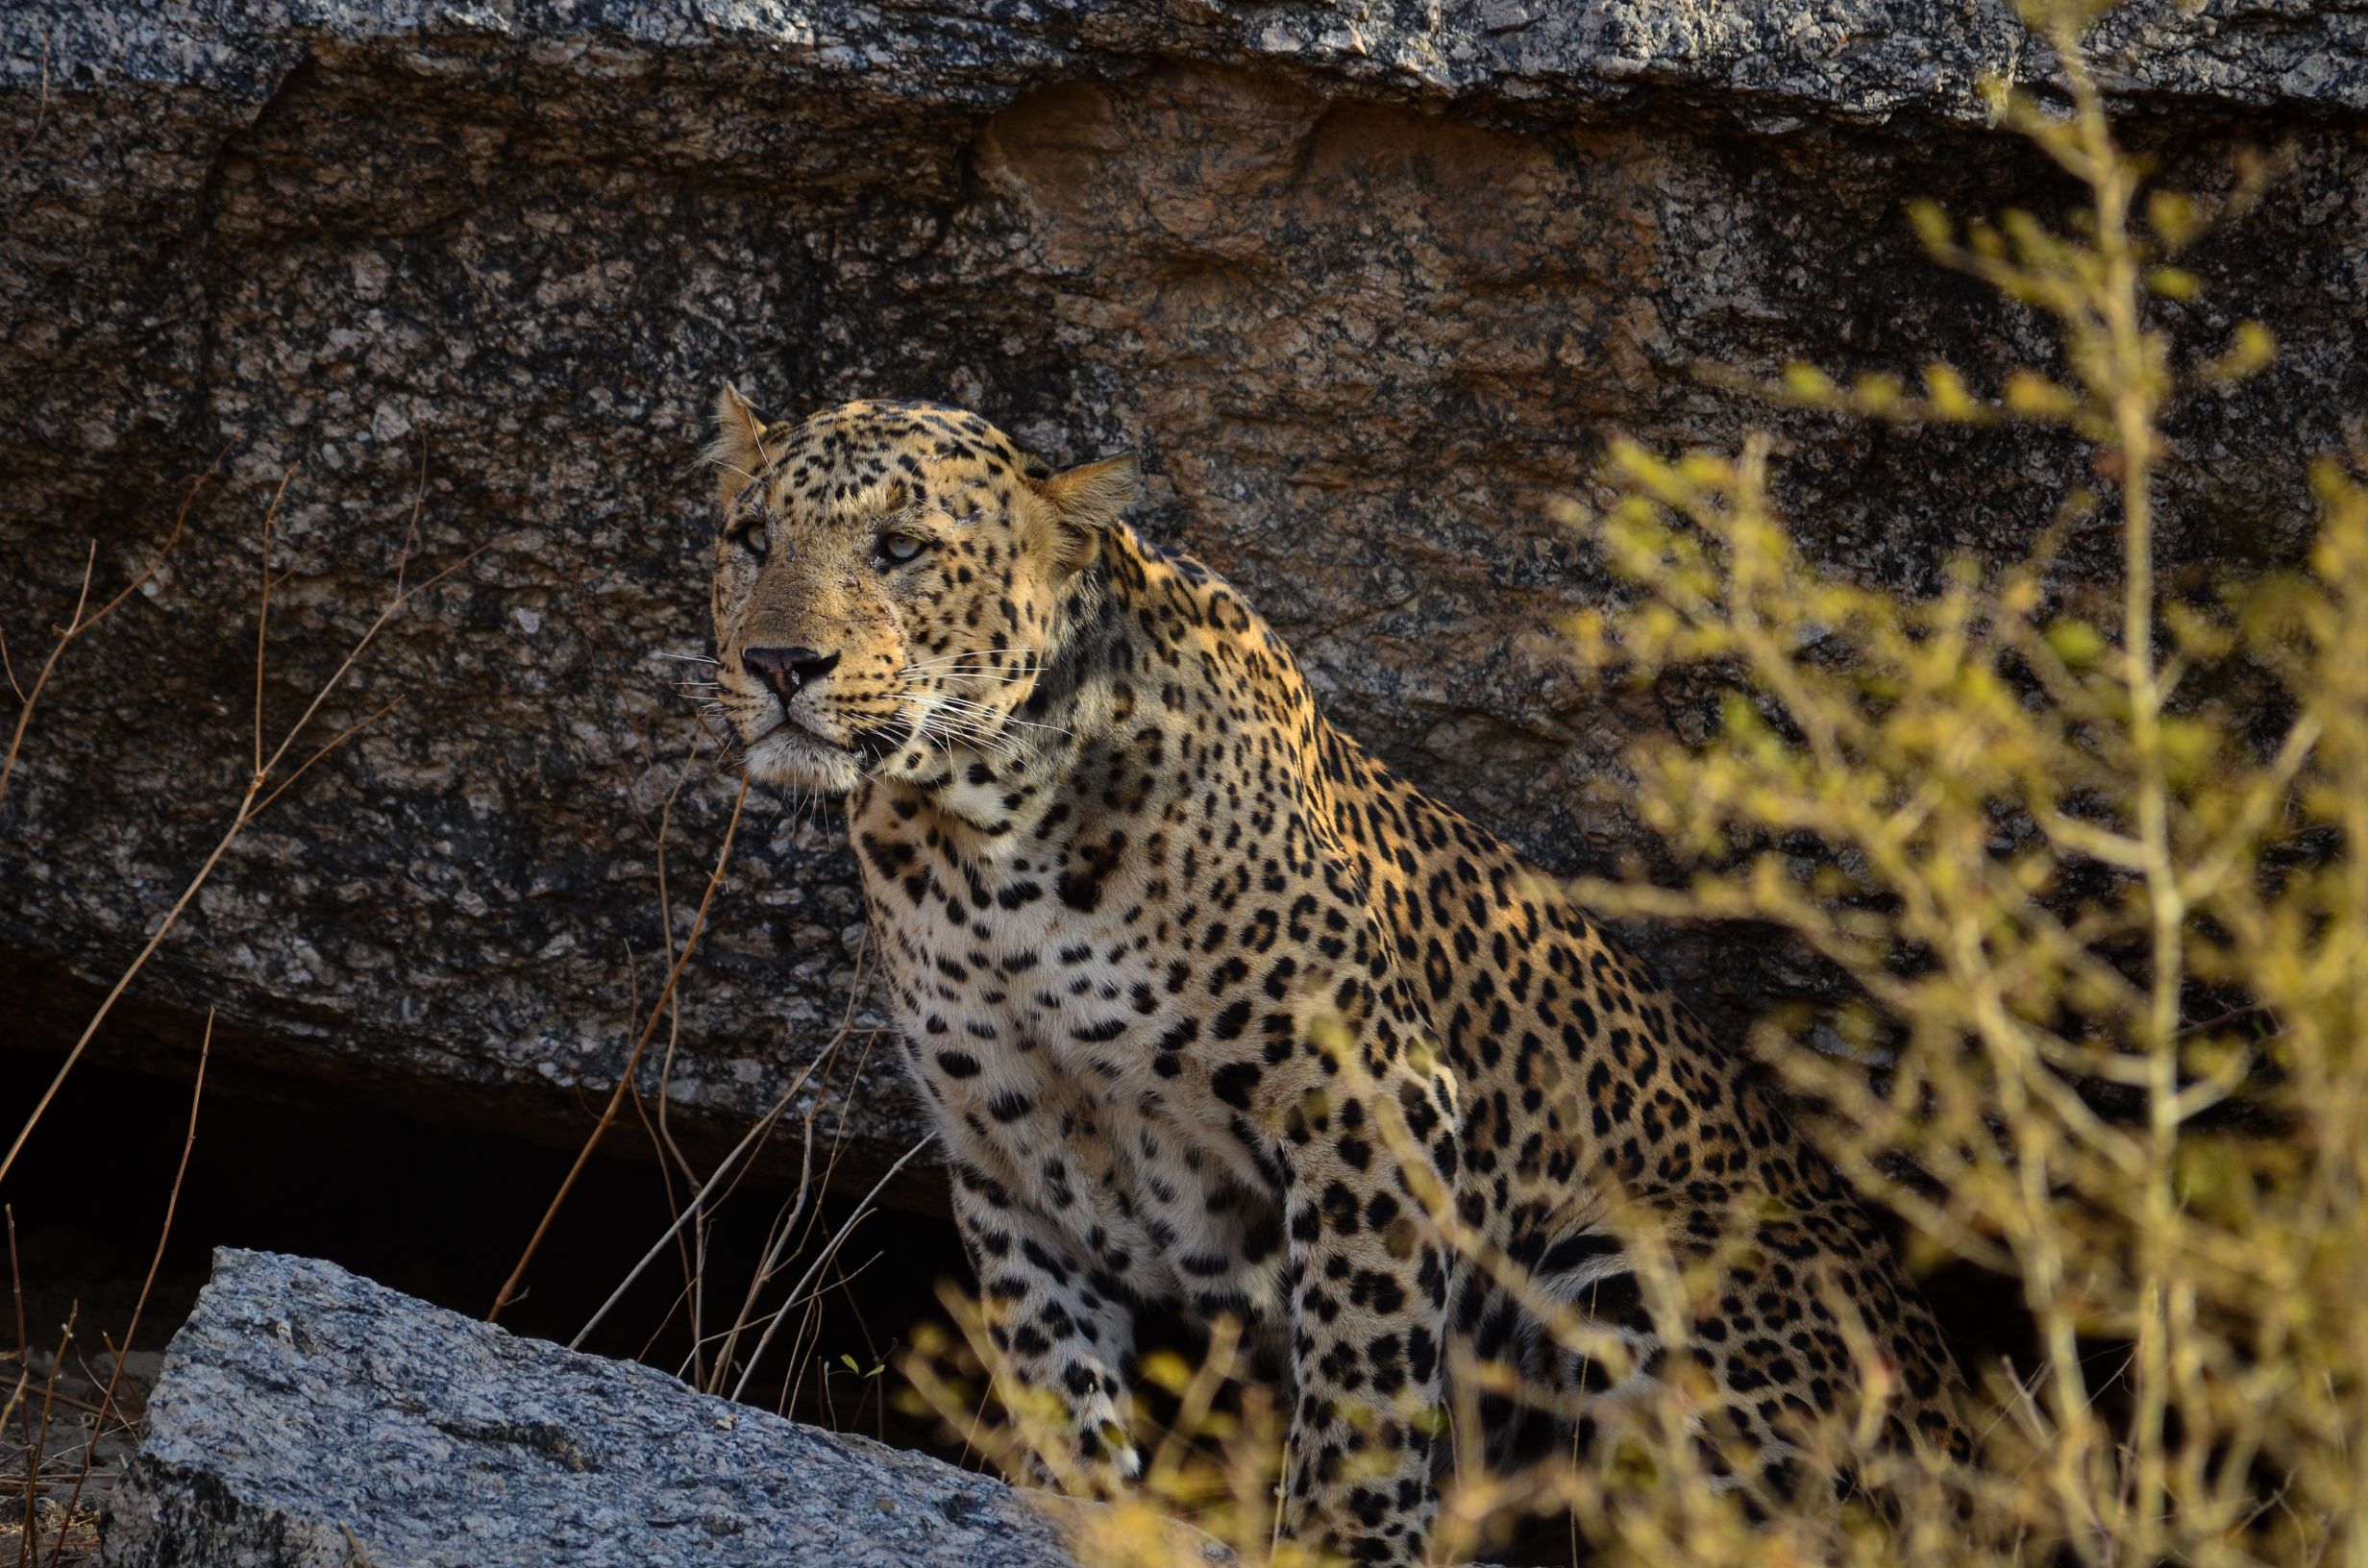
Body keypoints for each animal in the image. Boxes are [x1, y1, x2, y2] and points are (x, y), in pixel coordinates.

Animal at [702, 389, 1967, 1564]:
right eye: (751, 537)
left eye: (900, 548)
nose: (777, 663)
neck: (977, 841)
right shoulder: (1005, 1154)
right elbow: (1051, 1362)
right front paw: (1088, 1506)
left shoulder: (1368, 1100)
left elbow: (1362, 1362)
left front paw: (1343, 1538)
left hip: (1625, 1266)